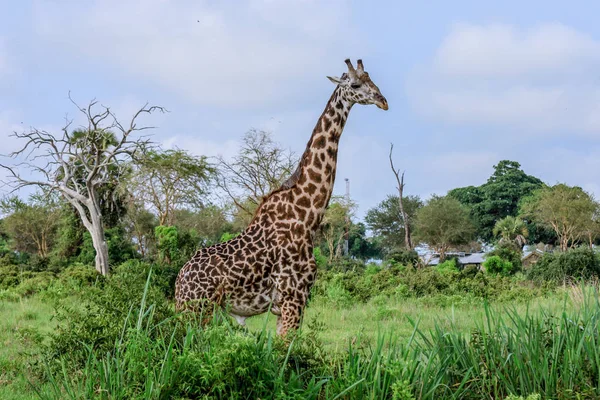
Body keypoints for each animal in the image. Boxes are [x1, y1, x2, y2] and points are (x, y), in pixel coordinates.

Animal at [175, 58, 390, 334]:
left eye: (372, 80)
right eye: (354, 84)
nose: (383, 101)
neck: (308, 215)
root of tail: (179, 282)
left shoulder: (288, 304)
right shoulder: (293, 296)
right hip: (196, 309)